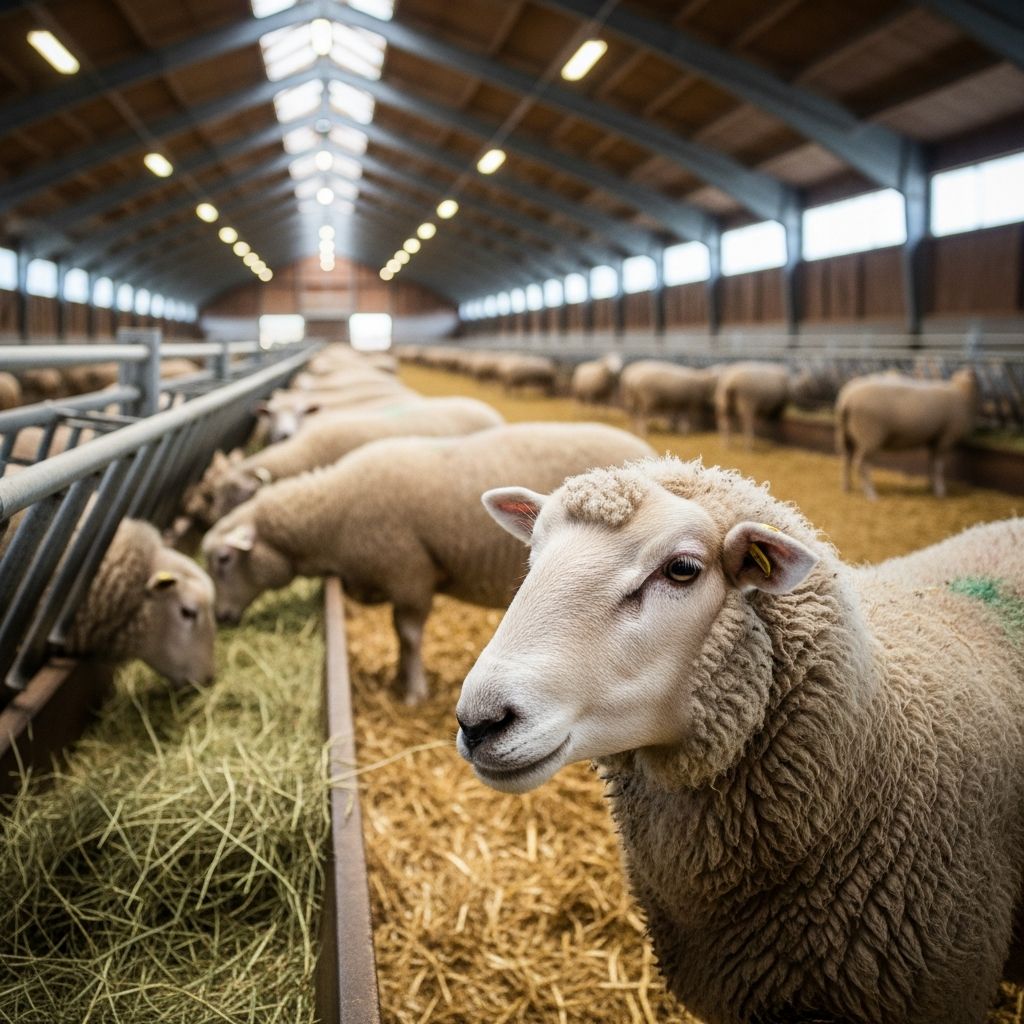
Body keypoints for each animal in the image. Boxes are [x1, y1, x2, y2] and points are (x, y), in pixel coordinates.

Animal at [203, 422, 654, 703]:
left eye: (224, 559)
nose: (222, 618)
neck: (331, 515)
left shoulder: (410, 574)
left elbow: (408, 635)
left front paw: (413, 690)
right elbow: (398, 635)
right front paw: (399, 678)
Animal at [835, 368, 978, 500]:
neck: (962, 394)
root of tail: (847, 399)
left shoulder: (933, 439)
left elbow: (931, 463)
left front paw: (931, 486)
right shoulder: (945, 438)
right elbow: (938, 466)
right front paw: (940, 491)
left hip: (847, 435)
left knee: (846, 459)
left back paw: (847, 487)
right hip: (869, 436)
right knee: (860, 463)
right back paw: (871, 494)